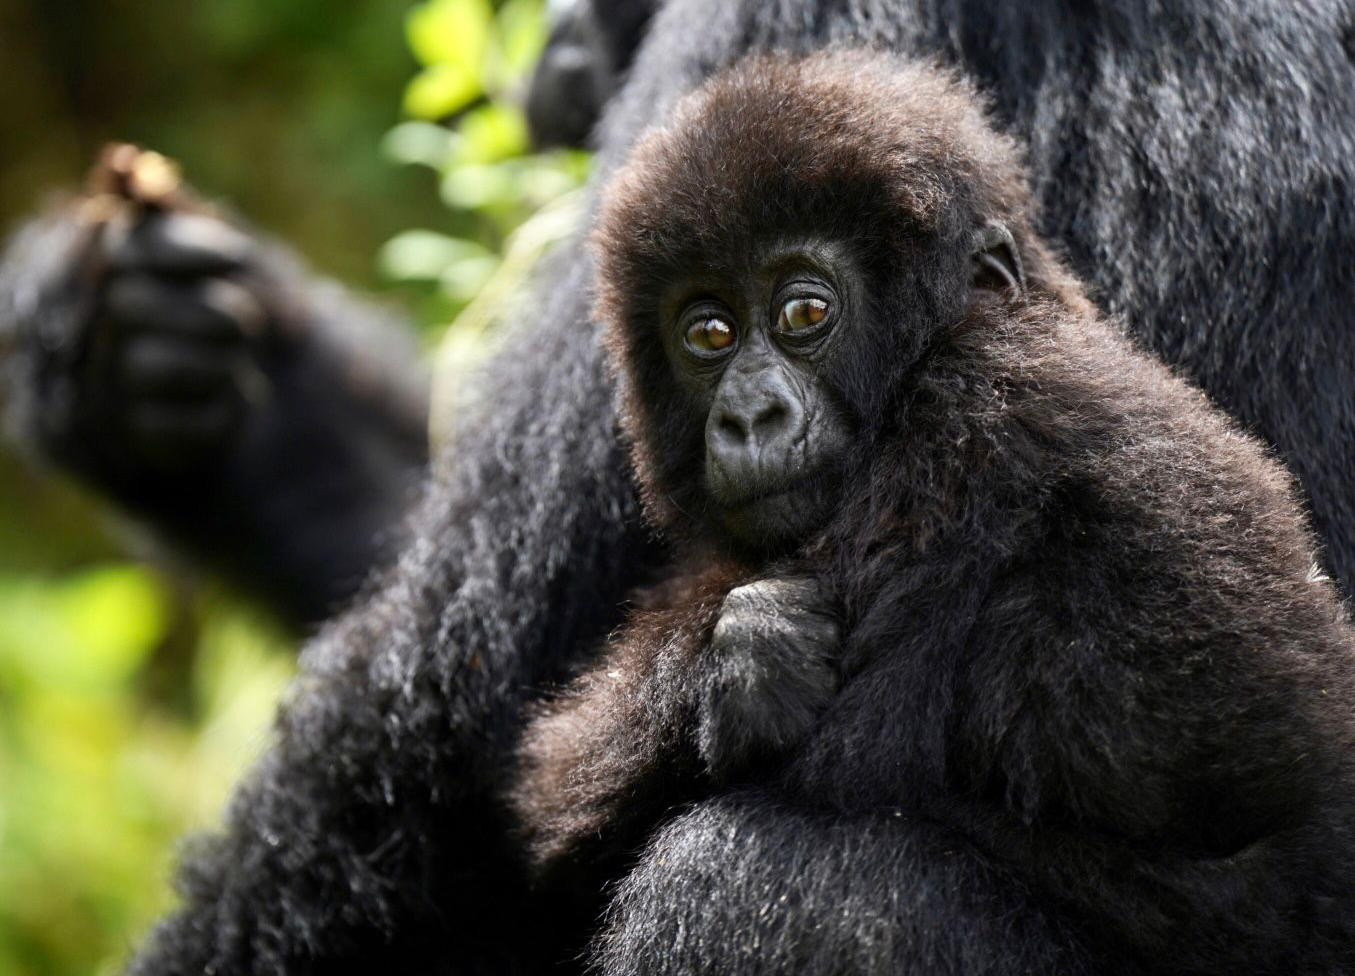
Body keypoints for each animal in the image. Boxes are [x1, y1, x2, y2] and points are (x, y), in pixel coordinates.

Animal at [510, 51, 1355, 974]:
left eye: (805, 313)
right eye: (708, 333)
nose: (748, 416)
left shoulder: (964, 423)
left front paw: (739, 660)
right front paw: (743, 650)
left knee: (738, 872)